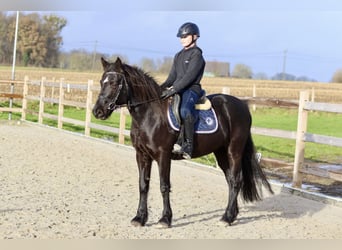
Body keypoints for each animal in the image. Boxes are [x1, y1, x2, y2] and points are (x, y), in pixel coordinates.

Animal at [93, 57, 272, 229]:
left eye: (114, 83)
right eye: (102, 81)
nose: (97, 111)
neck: (150, 114)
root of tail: (242, 106)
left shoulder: (163, 155)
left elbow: (164, 186)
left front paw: (165, 219)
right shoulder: (142, 155)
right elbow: (143, 185)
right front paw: (140, 218)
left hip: (234, 151)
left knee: (236, 181)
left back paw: (226, 218)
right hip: (221, 152)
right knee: (230, 180)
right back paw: (231, 216)